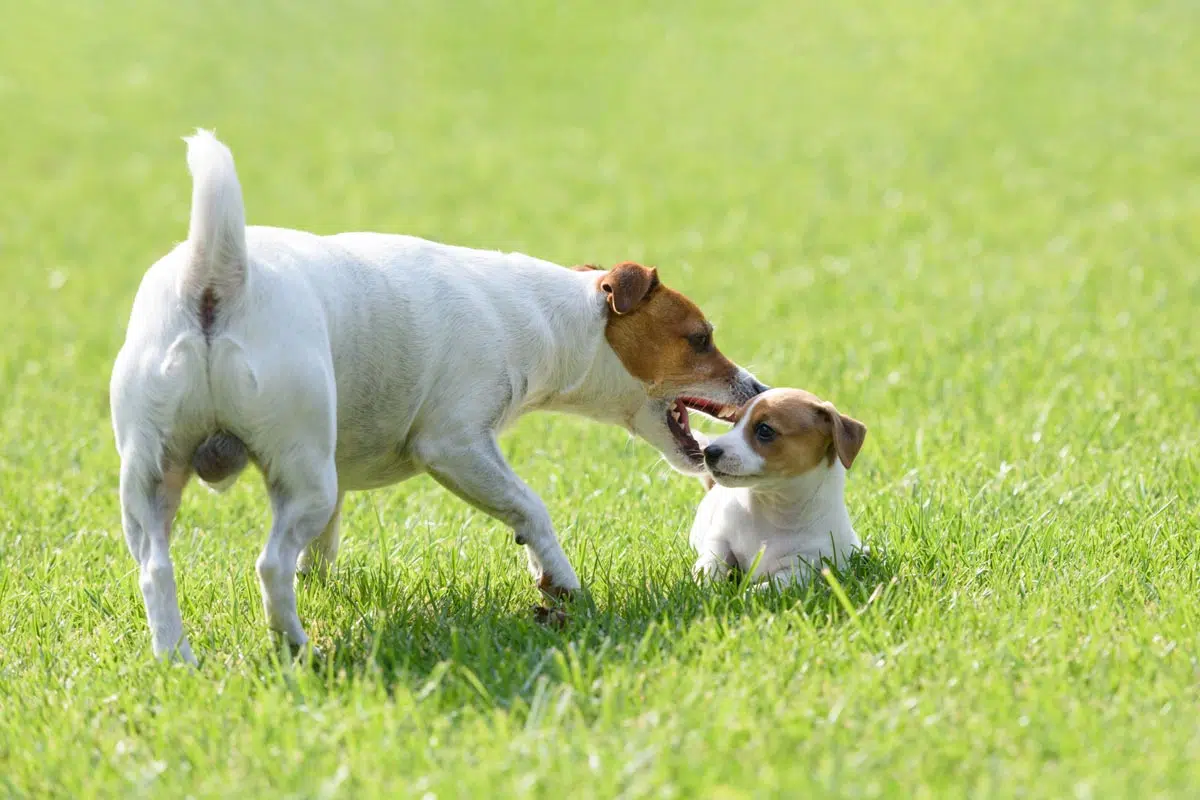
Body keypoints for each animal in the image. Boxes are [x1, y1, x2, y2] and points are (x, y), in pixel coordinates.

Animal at [691, 391, 868, 592]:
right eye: (735, 423)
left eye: (764, 430)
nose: (708, 452)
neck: (773, 505)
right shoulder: (719, 540)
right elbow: (710, 563)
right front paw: (709, 587)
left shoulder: (800, 568)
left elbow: (767, 587)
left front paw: (741, 594)